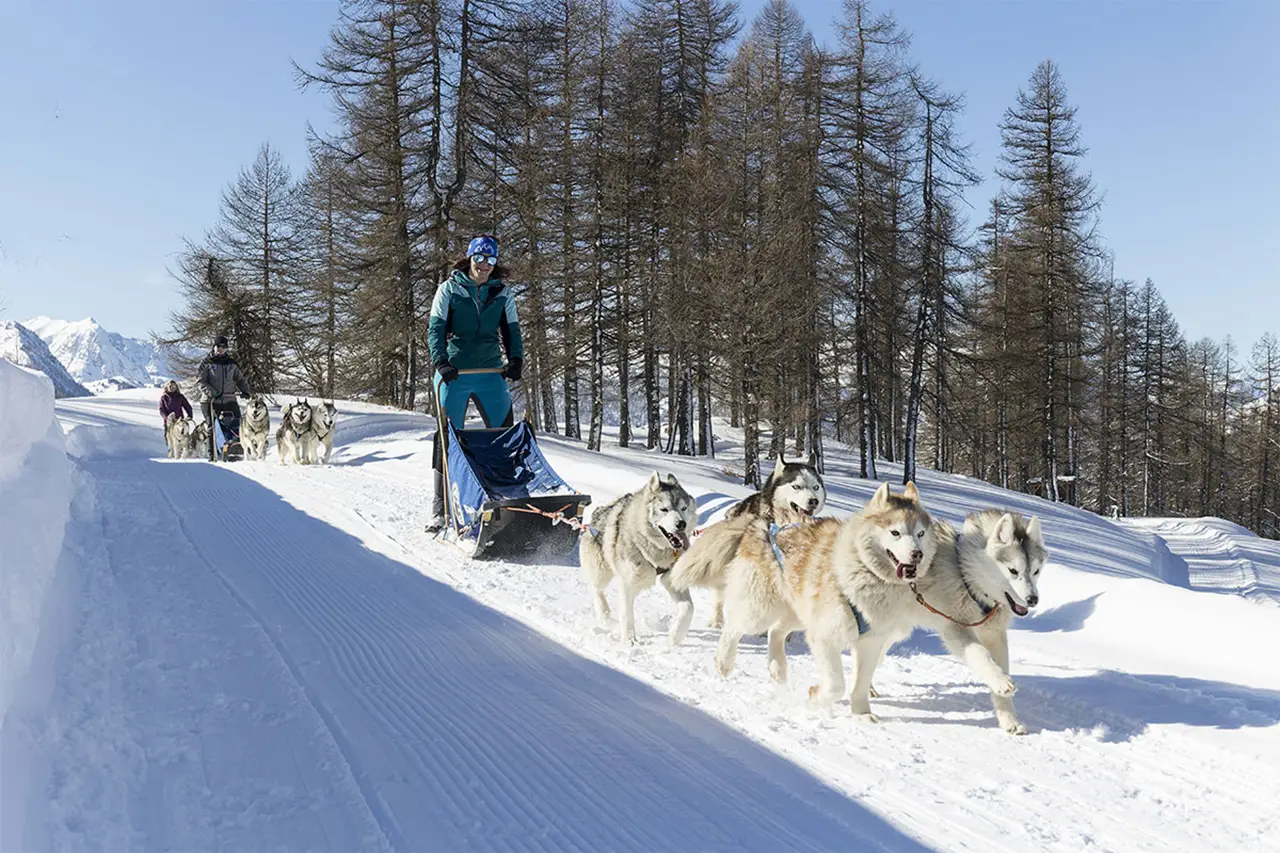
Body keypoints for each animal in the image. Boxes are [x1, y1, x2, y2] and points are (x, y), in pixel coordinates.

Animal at [581, 468, 696, 640]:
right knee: (597, 591)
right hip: (600, 573)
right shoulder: (627, 584)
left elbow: (689, 608)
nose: (681, 524)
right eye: (664, 509)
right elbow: (626, 616)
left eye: (683, 508)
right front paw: (630, 642)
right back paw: (606, 618)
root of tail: (599, 512)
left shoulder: (671, 579)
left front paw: (675, 636)